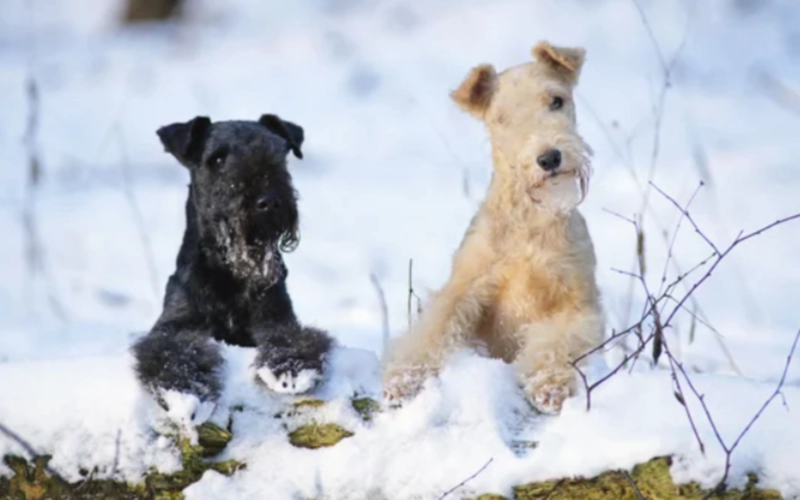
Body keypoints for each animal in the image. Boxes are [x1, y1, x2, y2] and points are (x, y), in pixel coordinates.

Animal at [133, 115, 332, 404]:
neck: (230, 272)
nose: (269, 201)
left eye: (278, 151)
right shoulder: (173, 326)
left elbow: (289, 337)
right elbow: (173, 350)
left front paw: (291, 367)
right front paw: (182, 387)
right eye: (217, 159)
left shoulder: (277, 320)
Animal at [384, 41, 604, 414]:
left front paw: (550, 386)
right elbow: (431, 333)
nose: (548, 158)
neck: (531, 218)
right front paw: (402, 380)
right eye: (502, 118)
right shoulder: (464, 287)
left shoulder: (577, 305)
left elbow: (555, 343)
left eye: (556, 100)